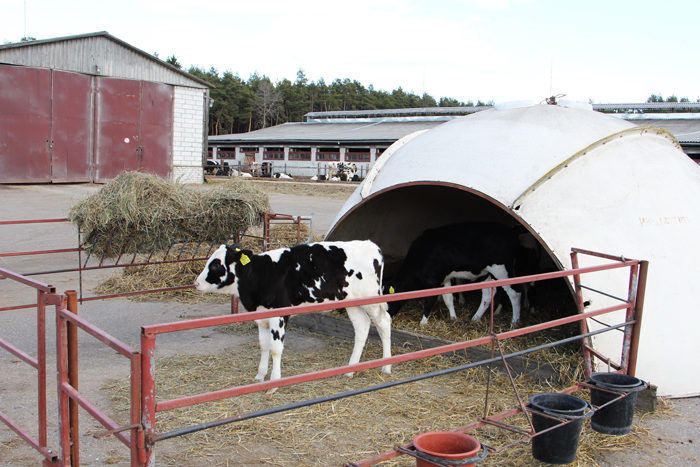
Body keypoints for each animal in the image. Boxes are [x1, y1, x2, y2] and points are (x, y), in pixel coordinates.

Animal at [194, 239, 392, 386]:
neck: (263, 274)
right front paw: (260, 376)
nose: (196, 283)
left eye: (215, 265)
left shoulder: (279, 316)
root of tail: (372, 245)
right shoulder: (262, 316)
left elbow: (275, 349)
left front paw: (274, 382)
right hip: (353, 302)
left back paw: (386, 367)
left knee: (383, 323)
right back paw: (350, 370)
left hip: (371, 299)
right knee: (362, 327)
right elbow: (263, 346)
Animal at [386, 222, 524, 326]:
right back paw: (475, 318)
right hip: (485, 273)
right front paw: (453, 318)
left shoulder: (432, 281)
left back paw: (514, 322)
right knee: (488, 295)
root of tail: (511, 229)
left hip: (502, 270)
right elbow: (448, 299)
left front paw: (423, 322)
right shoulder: (444, 279)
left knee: (515, 293)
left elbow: (429, 302)